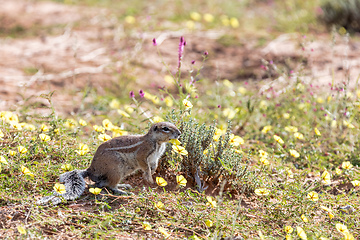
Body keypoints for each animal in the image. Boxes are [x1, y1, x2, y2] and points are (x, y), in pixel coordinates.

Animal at [37, 122, 180, 204]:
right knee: (110, 185)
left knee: (101, 184)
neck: (158, 142)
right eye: (165, 128)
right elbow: (145, 166)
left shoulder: (155, 158)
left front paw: (153, 172)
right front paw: (149, 179)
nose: (179, 133)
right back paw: (123, 191)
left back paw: (123, 186)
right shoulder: (142, 154)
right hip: (116, 168)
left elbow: (153, 165)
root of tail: (91, 170)